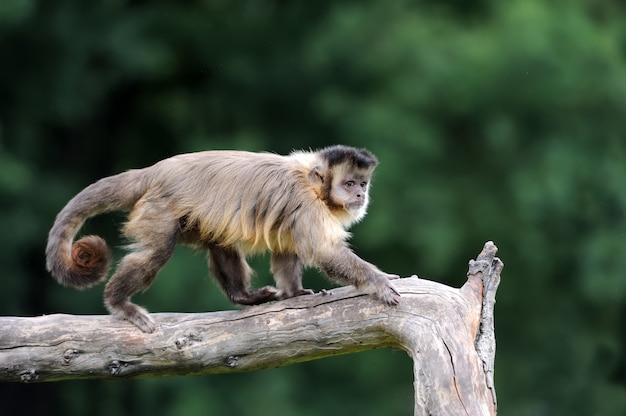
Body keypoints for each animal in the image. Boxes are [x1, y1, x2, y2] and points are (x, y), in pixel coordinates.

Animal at [47, 145, 400, 334]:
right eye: (350, 183)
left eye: (363, 184)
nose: (360, 194)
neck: (314, 184)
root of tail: (154, 171)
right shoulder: (306, 203)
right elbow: (323, 250)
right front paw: (378, 281)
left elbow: (287, 249)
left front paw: (295, 293)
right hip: (158, 207)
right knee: (156, 251)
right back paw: (119, 303)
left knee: (220, 241)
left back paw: (244, 296)